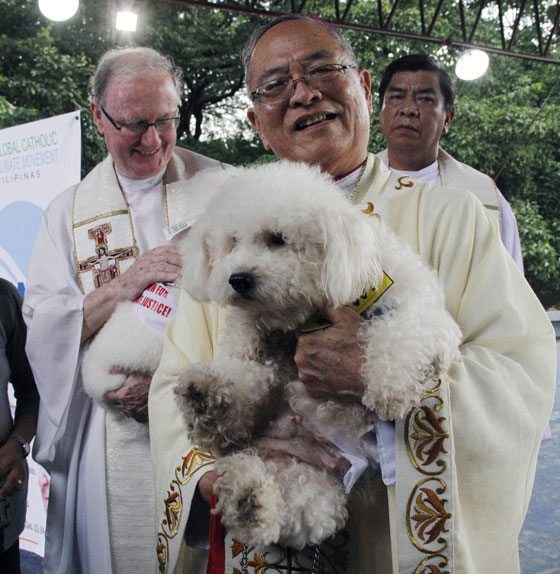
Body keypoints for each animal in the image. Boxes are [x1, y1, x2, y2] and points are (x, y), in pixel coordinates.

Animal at [174, 160, 460, 552]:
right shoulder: (261, 344)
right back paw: (212, 409)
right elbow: (246, 350)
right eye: (232, 241)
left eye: (278, 238)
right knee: (247, 402)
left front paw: (390, 389)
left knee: (293, 509)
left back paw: (248, 498)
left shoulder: (427, 316)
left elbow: (400, 333)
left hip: (319, 484)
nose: (238, 279)